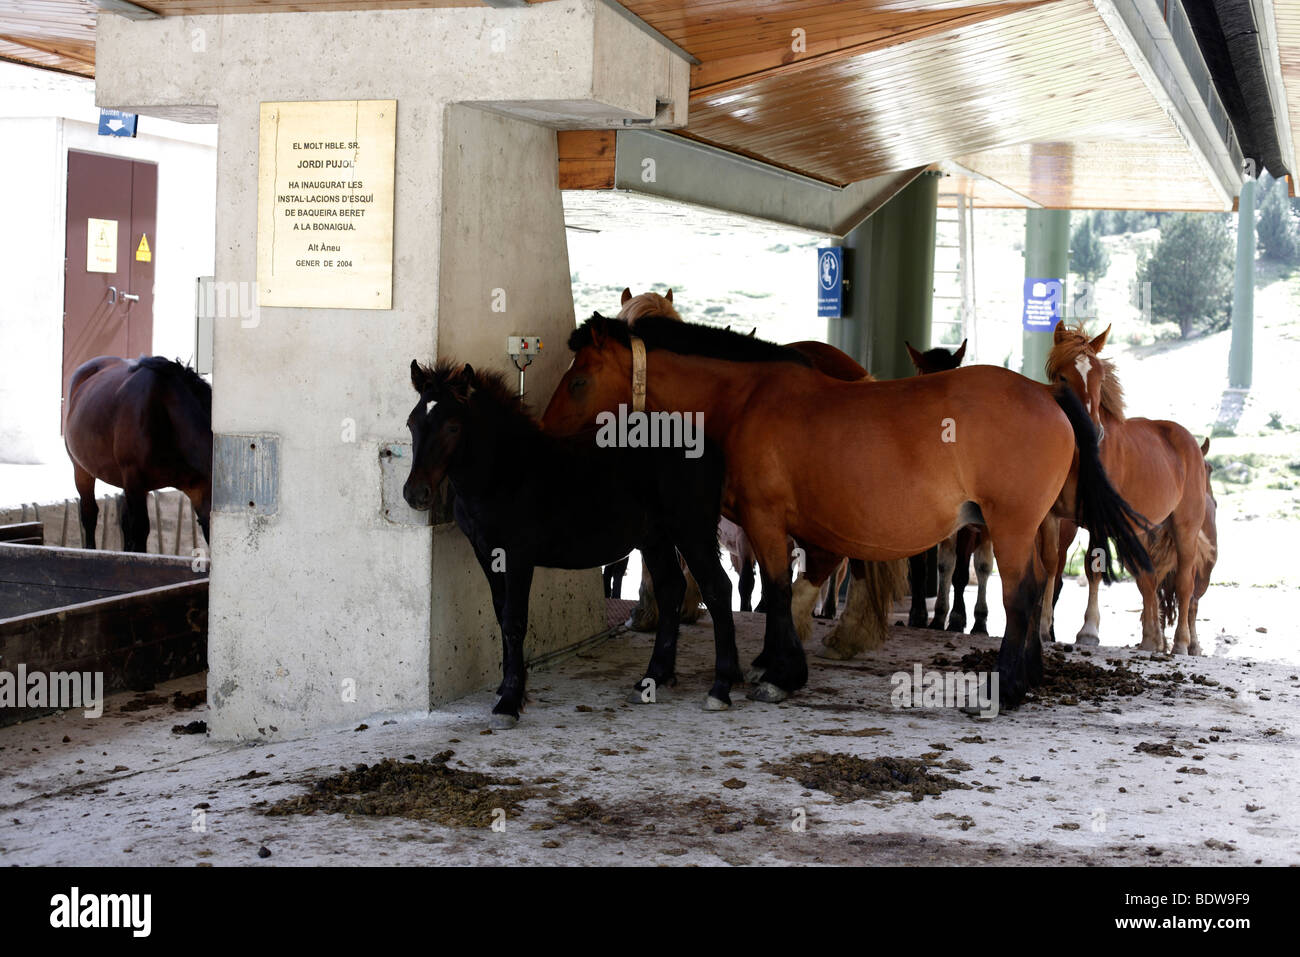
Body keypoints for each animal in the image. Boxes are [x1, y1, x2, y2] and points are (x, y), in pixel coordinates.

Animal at [403, 359, 742, 727]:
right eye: (411, 422)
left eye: (452, 427)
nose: (415, 493)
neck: (505, 473)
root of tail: (711, 446)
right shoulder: (486, 554)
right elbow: (500, 614)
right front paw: (510, 689)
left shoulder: (518, 555)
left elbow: (514, 620)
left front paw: (509, 702)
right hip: (655, 538)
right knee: (671, 590)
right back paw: (652, 680)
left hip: (692, 532)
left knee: (717, 589)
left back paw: (720, 688)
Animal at [904, 339, 995, 634]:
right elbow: (924, 567)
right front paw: (920, 614)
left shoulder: (968, 524)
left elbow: (961, 573)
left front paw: (957, 617)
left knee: (981, 566)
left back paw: (976, 619)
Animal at [1042, 323, 1210, 655]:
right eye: (1063, 377)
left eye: (1099, 377)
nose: (1093, 430)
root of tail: (1190, 443)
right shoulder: (1054, 517)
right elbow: (1051, 565)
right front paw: (1041, 627)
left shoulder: (1097, 520)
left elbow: (1093, 566)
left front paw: (1089, 631)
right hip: (1142, 530)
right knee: (1149, 580)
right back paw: (1151, 640)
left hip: (1185, 528)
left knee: (1184, 583)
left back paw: (1181, 643)